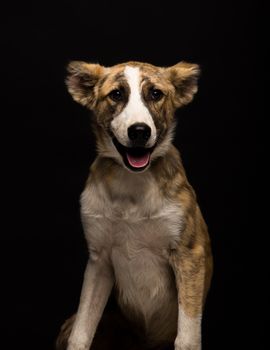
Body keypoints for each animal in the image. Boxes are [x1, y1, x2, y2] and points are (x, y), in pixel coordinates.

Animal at [56, 60, 213, 350]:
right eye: (116, 94)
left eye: (156, 94)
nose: (139, 131)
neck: (133, 186)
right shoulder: (99, 261)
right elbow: (81, 331)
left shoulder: (189, 254)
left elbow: (187, 336)